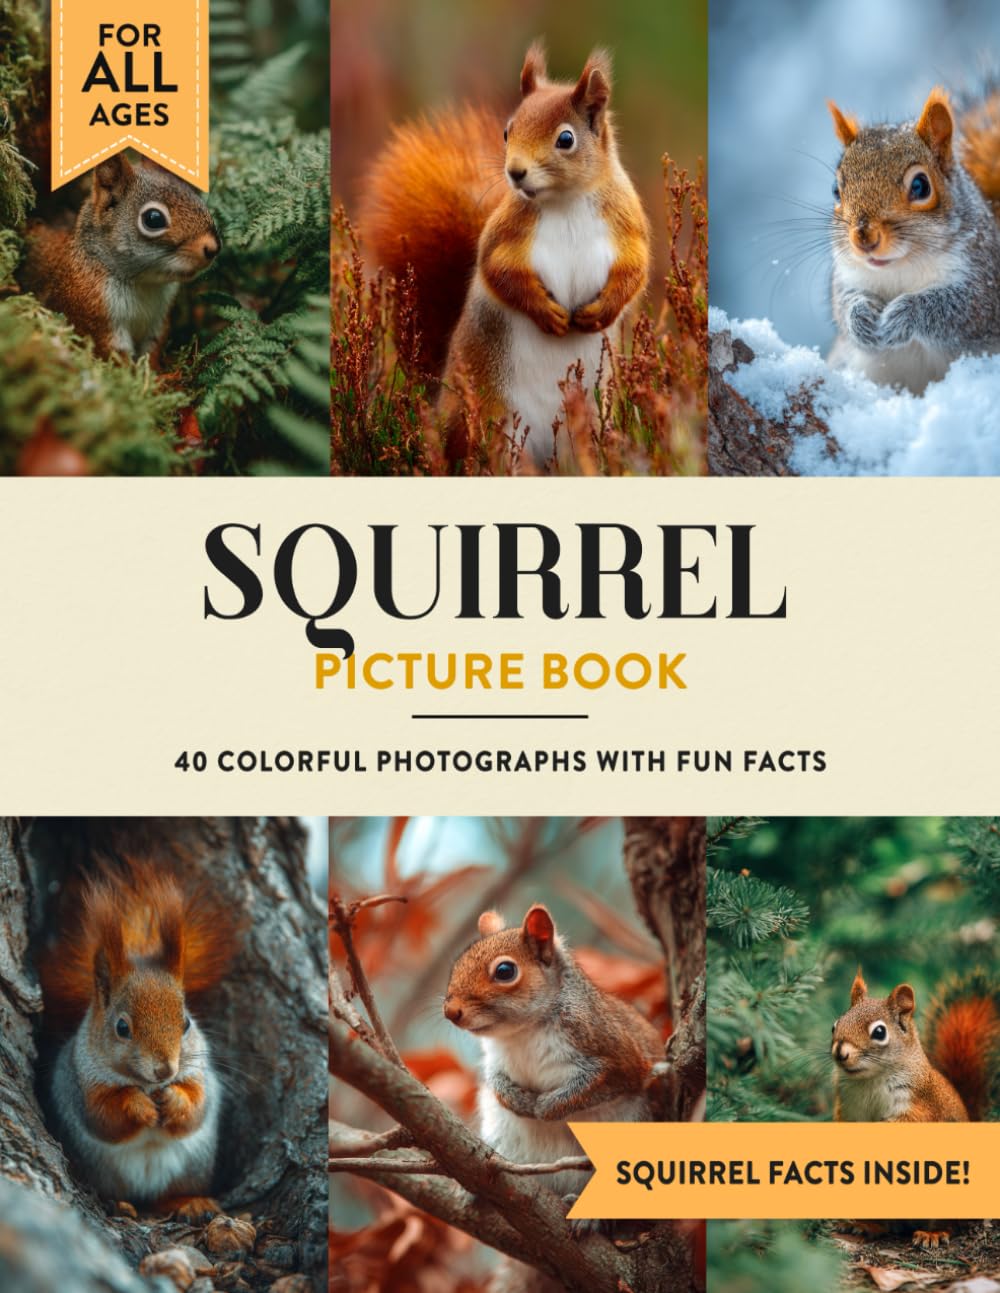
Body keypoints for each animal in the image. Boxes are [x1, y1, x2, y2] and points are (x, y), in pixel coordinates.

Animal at [21, 152, 220, 362]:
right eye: (153, 218)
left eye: (196, 198)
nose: (213, 248)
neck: (144, 284)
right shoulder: (92, 314)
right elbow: (112, 354)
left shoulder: (158, 320)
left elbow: (153, 351)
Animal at [39, 858, 239, 1221]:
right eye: (121, 1027)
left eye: (186, 1022)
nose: (165, 1071)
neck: (146, 1084)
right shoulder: (80, 1083)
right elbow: (105, 1115)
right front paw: (139, 1106)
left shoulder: (198, 1073)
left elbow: (196, 1106)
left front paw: (173, 1100)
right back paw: (120, 1204)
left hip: (192, 1167)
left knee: (169, 1195)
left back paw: (189, 1202)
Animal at [361, 43, 650, 468]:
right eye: (506, 131)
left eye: (566, 139)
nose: (515, 172)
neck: (564, 202)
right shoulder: (505, 237)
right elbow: (499, 272)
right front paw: (547, 314)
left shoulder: (626, 227)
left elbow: (635, 270)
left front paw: (602, 311)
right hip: (490, 417)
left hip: (589, 418)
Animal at [826, 85, 1000, 394]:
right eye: (836, 190)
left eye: (920, 186)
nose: (864, 238)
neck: (901, 267)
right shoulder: (847, 275)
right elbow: (843, 303)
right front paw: (860, 318)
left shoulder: (984, 283)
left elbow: (961, 310)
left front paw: (904, 315)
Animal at [831, 968, 1000, 1248]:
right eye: (835, 1025)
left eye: (879, 1032)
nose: (840, 1053)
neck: (869, 1079)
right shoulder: (847, 1105)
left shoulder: (920, 1103)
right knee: (887, 1225)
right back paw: (867, 1225)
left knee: (950, 1225)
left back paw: (932, 1234)